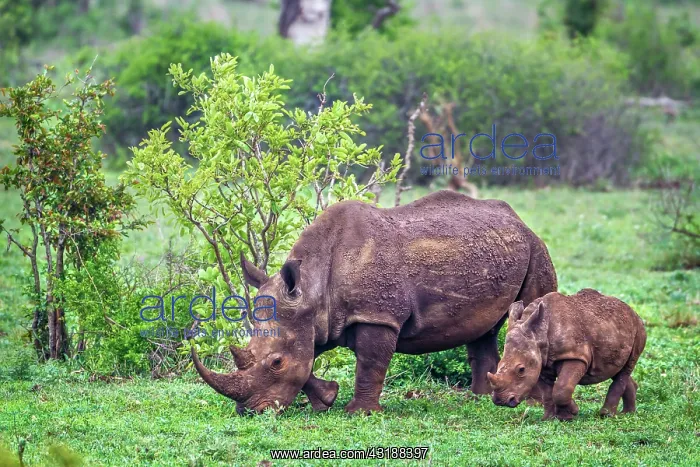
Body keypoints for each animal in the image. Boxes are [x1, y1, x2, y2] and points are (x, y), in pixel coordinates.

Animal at [191, 190, 557, 414]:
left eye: (276, 363)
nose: (251, 412)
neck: (312, 287)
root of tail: (519, 220)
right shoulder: (314, 319)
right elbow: (306, 361)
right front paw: (327, 398)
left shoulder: (377, 314)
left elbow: (370, 362)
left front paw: (360, 412)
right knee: (483, 330)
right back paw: (479, 398)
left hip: (536, 248)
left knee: (533, 309)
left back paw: (531, 403)